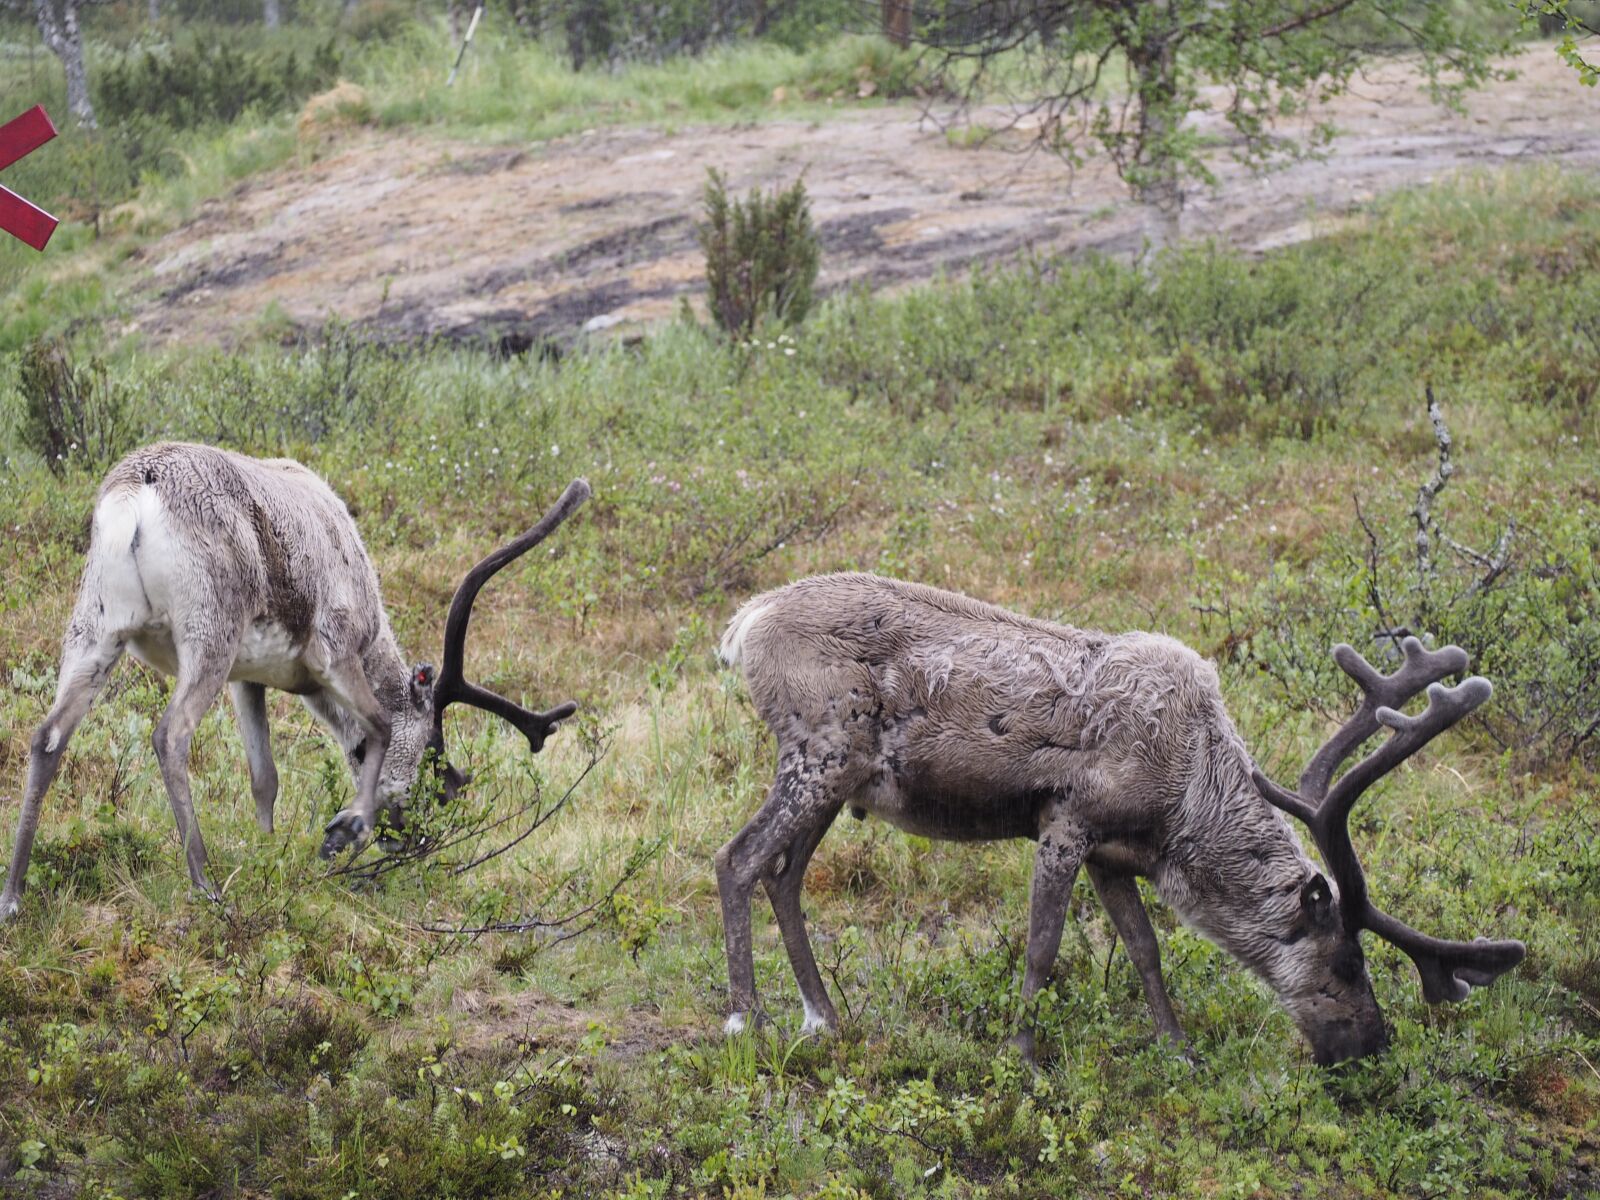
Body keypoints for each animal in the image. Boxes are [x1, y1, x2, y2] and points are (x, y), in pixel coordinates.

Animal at [1, 442, 589, 922]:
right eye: (433, 757)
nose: (413, 839)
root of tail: (137, 489)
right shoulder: (335, 648)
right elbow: (377, 725)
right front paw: (345, 828)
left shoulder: (248, 678)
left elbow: (265, 777)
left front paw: (269, 855)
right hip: (208, 630)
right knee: (171, 734)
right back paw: (206, 886)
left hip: (97, 625)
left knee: (48, 736)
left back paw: (13, 896)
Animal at [715, 572, 1525, 1065]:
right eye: (1348, 962)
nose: (1374, 1043)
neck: (1187, 800)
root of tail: (743, 624)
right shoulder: (1067, 821)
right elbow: (1042, 948)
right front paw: (1022, 1055)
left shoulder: (1115, 856)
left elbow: (1145, 949)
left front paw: (1179, 1049)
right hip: (819, 753)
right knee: (738, 860)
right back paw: (748, 1020)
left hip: (841, 777)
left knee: (784, 877)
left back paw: (823, 1016)